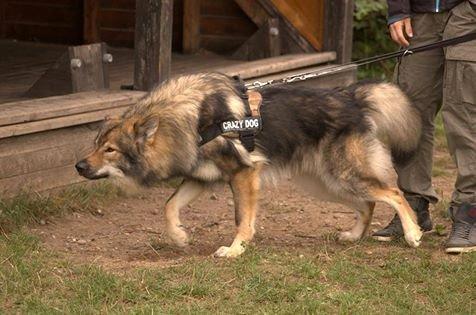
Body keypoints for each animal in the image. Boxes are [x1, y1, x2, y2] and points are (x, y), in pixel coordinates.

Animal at [75, 73, 424, 258]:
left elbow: (242, 217)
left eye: (109, 149)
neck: (192, 120)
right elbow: (169, 206)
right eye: (95, 144)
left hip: (345, 176)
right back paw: (354, 236)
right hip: (327, 185)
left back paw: (413, 235)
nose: (78, 166)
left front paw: (234, 250)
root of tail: (352, 96)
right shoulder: (201, 178)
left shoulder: (244, 175)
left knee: (395, 193)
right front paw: (179, 237)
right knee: (368, 204)